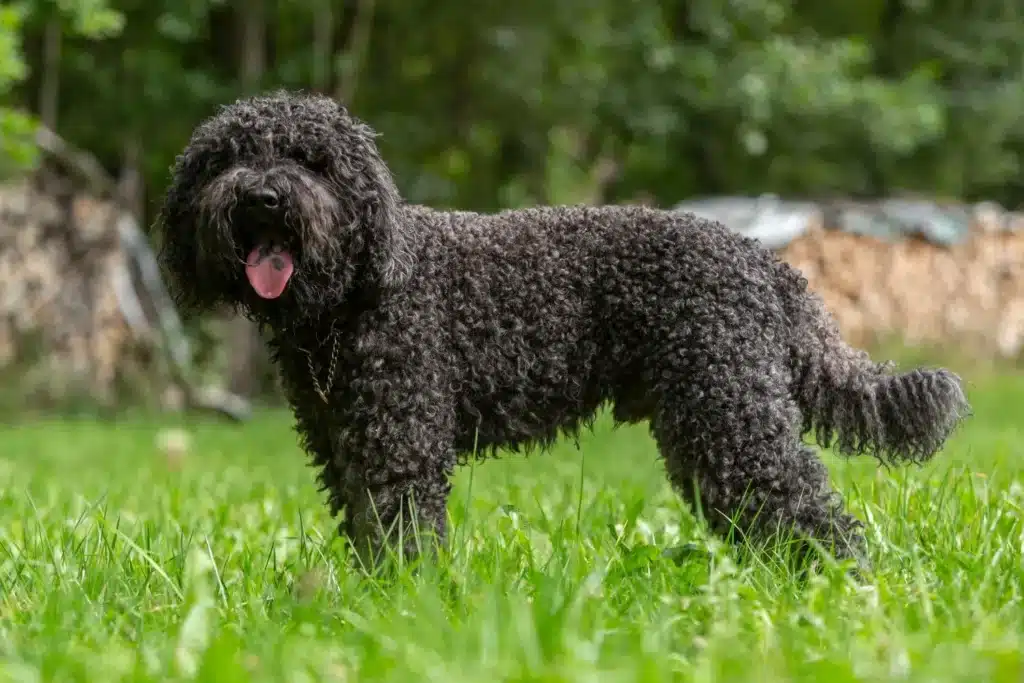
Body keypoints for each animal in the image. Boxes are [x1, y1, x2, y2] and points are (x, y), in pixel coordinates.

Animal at [157, 90, 966, 569]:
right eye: (228, 158)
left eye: (311, 160)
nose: (263, 197)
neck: (359, 295)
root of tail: (762, 260)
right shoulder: (344, 445)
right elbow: (366, 528)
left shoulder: (398, 445)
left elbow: (402, 530)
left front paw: (408, 603)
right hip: (710, 421)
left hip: (729, 409)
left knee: (803, 502)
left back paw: (840, 583)